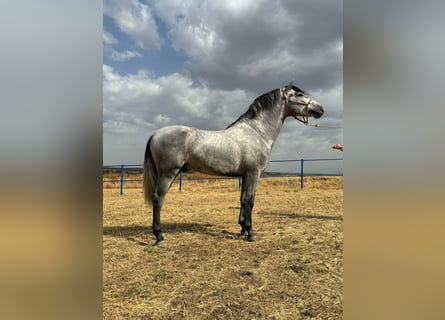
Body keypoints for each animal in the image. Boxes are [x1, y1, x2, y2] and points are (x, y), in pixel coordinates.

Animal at [145, 82, 322, 245]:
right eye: (299, 94)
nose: (320, 109)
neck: (257, 132)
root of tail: (155, 134)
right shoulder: (253, 173)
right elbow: (250, 200)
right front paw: (251, 233)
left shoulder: (245, 175)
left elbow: (242, 199)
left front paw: (243, 229)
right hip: (168, 173)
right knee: (158, 199)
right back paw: (159, 237)